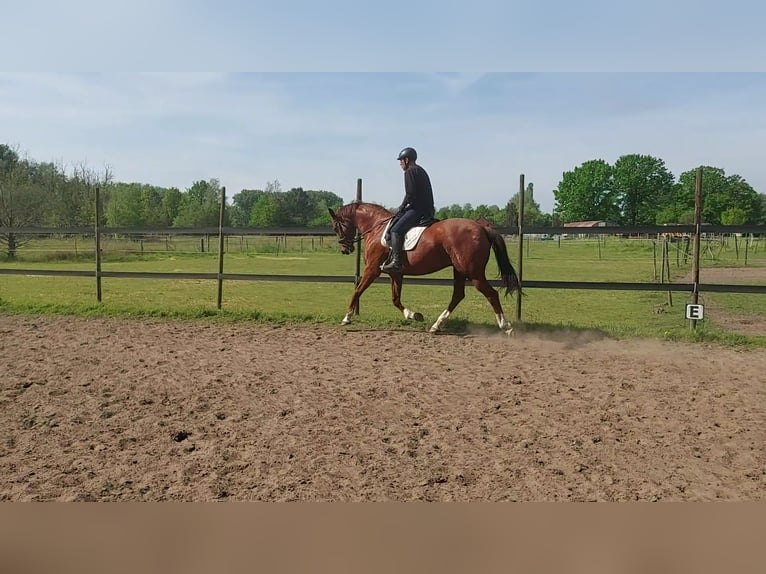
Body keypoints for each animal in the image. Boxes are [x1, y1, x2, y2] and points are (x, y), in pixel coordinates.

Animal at [328, 202, 520, 334]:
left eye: (336, 226)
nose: (345, 249)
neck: (377, 228)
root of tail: (481, 227)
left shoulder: (372, 270)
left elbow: (357, 290)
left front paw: (347, 318)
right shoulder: (396, 273)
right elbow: (395, 299)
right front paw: (414, 315)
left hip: (473, 273)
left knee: (491, 294)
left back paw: (506, 326)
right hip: (459, 270)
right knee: (458, 295)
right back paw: (437, 325)